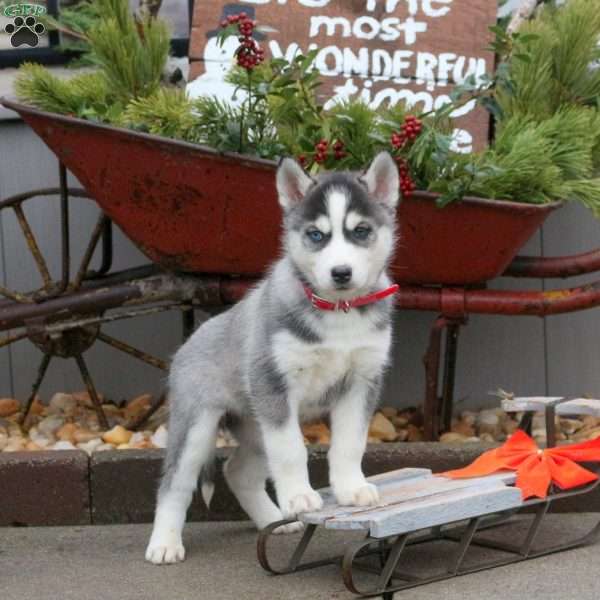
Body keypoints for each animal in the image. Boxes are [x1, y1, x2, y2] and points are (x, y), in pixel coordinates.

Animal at [145, 150, 398, 564]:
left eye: (361, 231)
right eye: (316, 235)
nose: (341, 273)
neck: (338, 311)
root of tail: (187, 343)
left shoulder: (361, 382)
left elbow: (350, 443)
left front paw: (350, 488)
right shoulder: (275, 385)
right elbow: (291, 450)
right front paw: (299, 496)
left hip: (256, 425)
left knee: (237, 472)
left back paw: (274, 521)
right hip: (199, 423)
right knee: (175, 483)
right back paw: (165, 543)